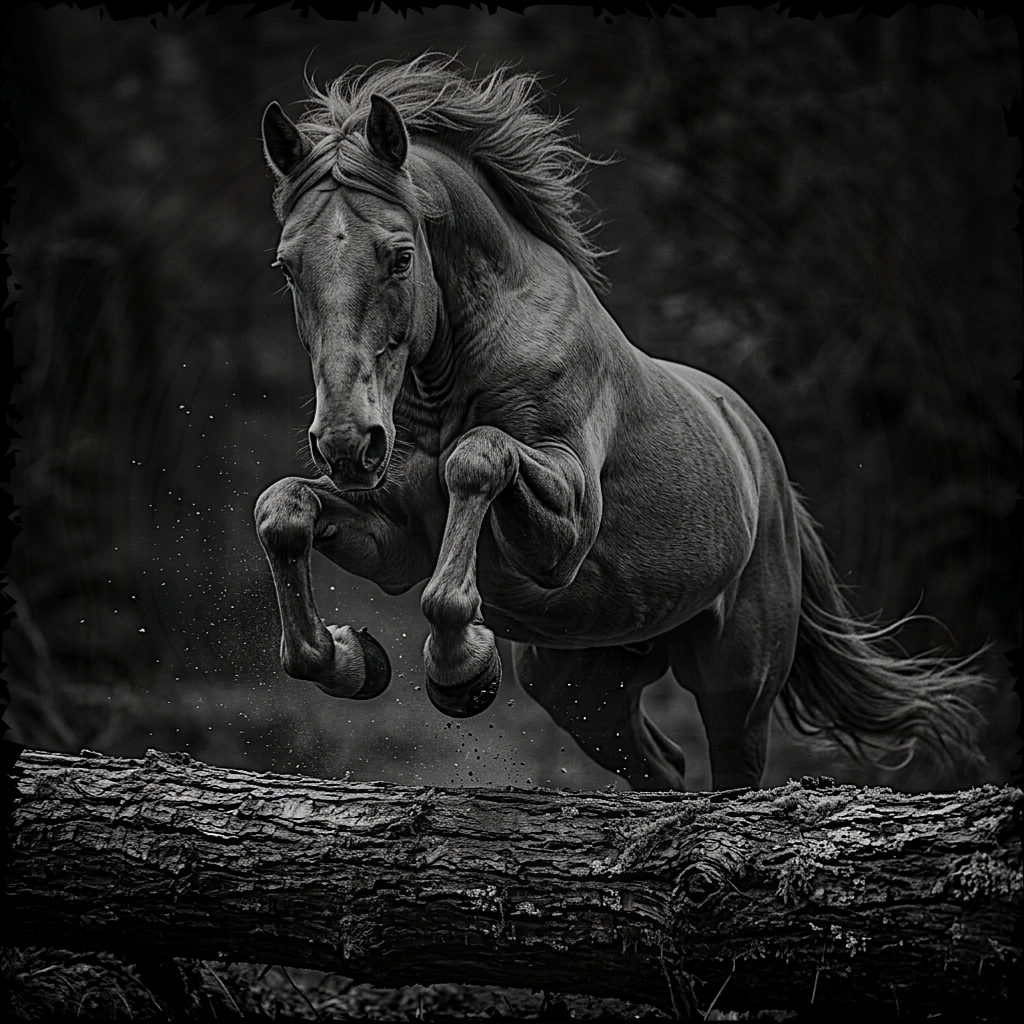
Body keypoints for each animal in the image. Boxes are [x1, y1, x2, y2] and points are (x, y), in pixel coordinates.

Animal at [253, 55, 987, 791]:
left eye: (401, 256)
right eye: (287, 267)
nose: (348, 443)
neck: (450, 376)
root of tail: (766, 465)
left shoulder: (565, 527)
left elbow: (479, 459)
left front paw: (461, 669)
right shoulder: (396, 538)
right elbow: (281, 511)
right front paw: (351, 657)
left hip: (736, 681)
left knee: (730, 772)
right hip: (582, 687)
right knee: (663, 768)